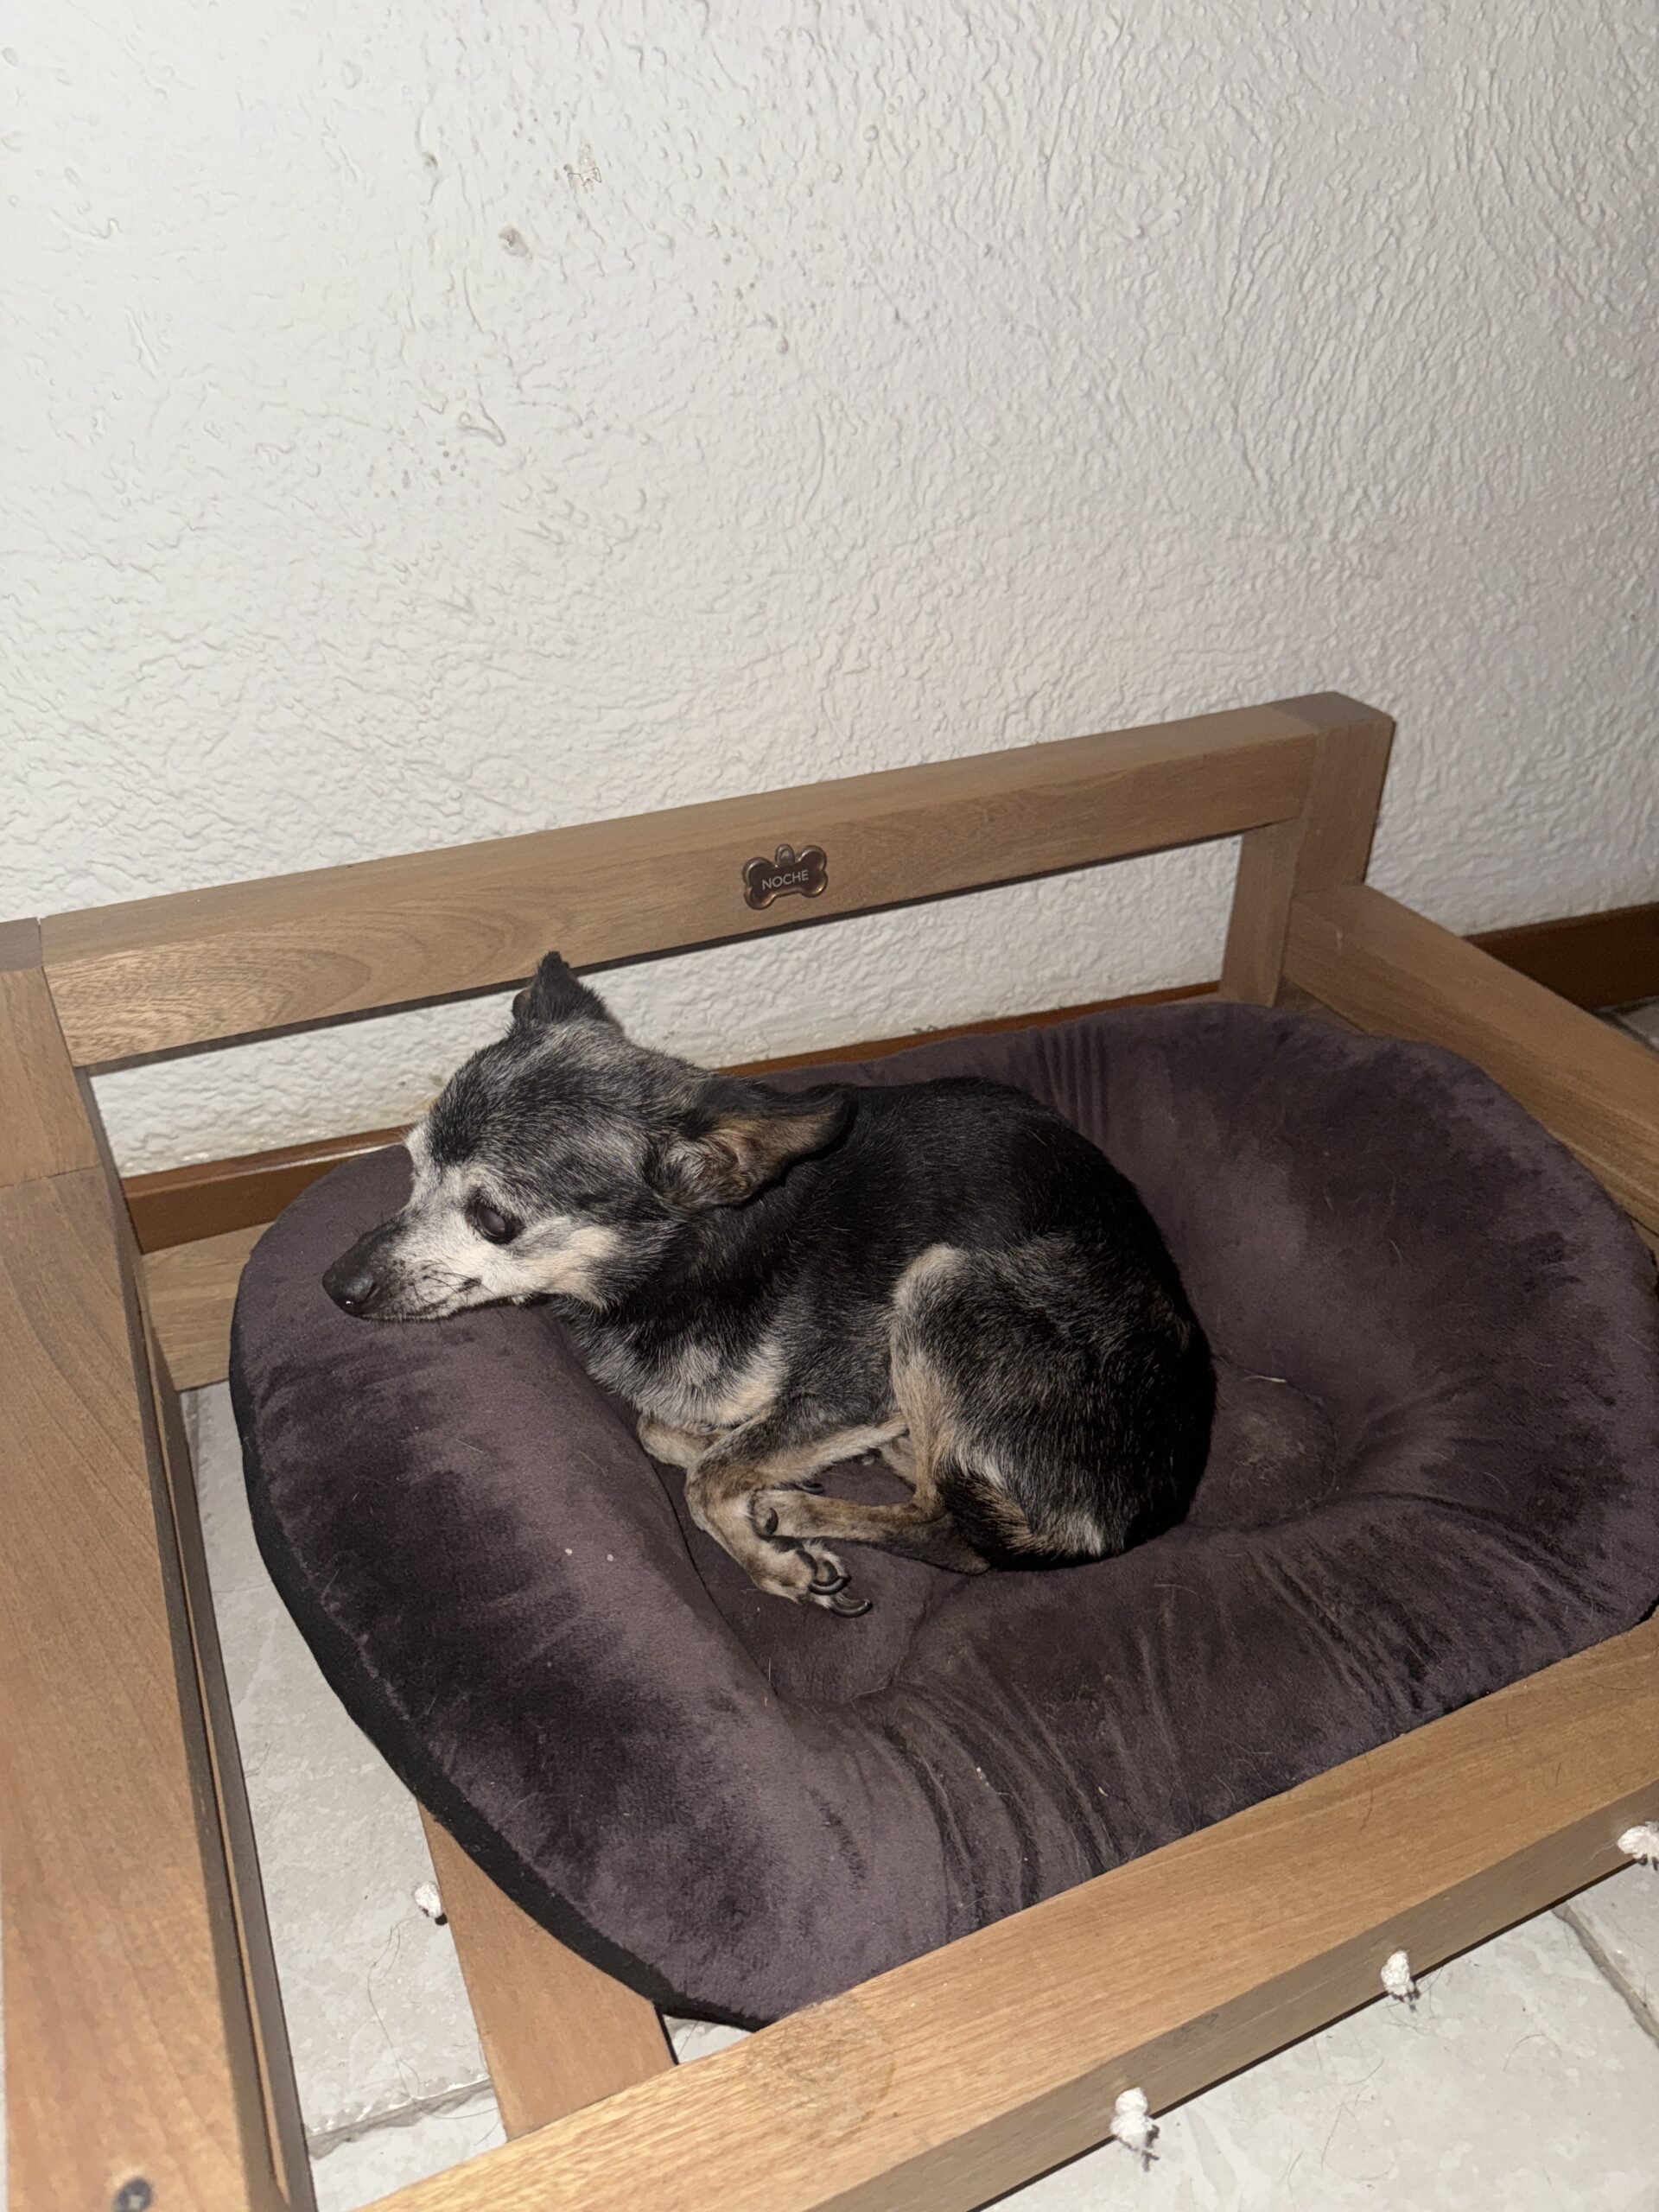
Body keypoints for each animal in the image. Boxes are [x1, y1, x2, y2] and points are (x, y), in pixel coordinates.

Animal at [323, 953, 1214, 1616]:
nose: (336, 1283)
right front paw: (757, 1467)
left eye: (493, 1218)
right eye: (412, 1169)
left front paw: (775, 1561)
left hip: (942, 1280)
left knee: (952, 1532)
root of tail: (1146, 1508)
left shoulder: (854, 1389)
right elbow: (665, 1432)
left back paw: (804, 1513)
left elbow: (707, 1479)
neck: (693, 1257)